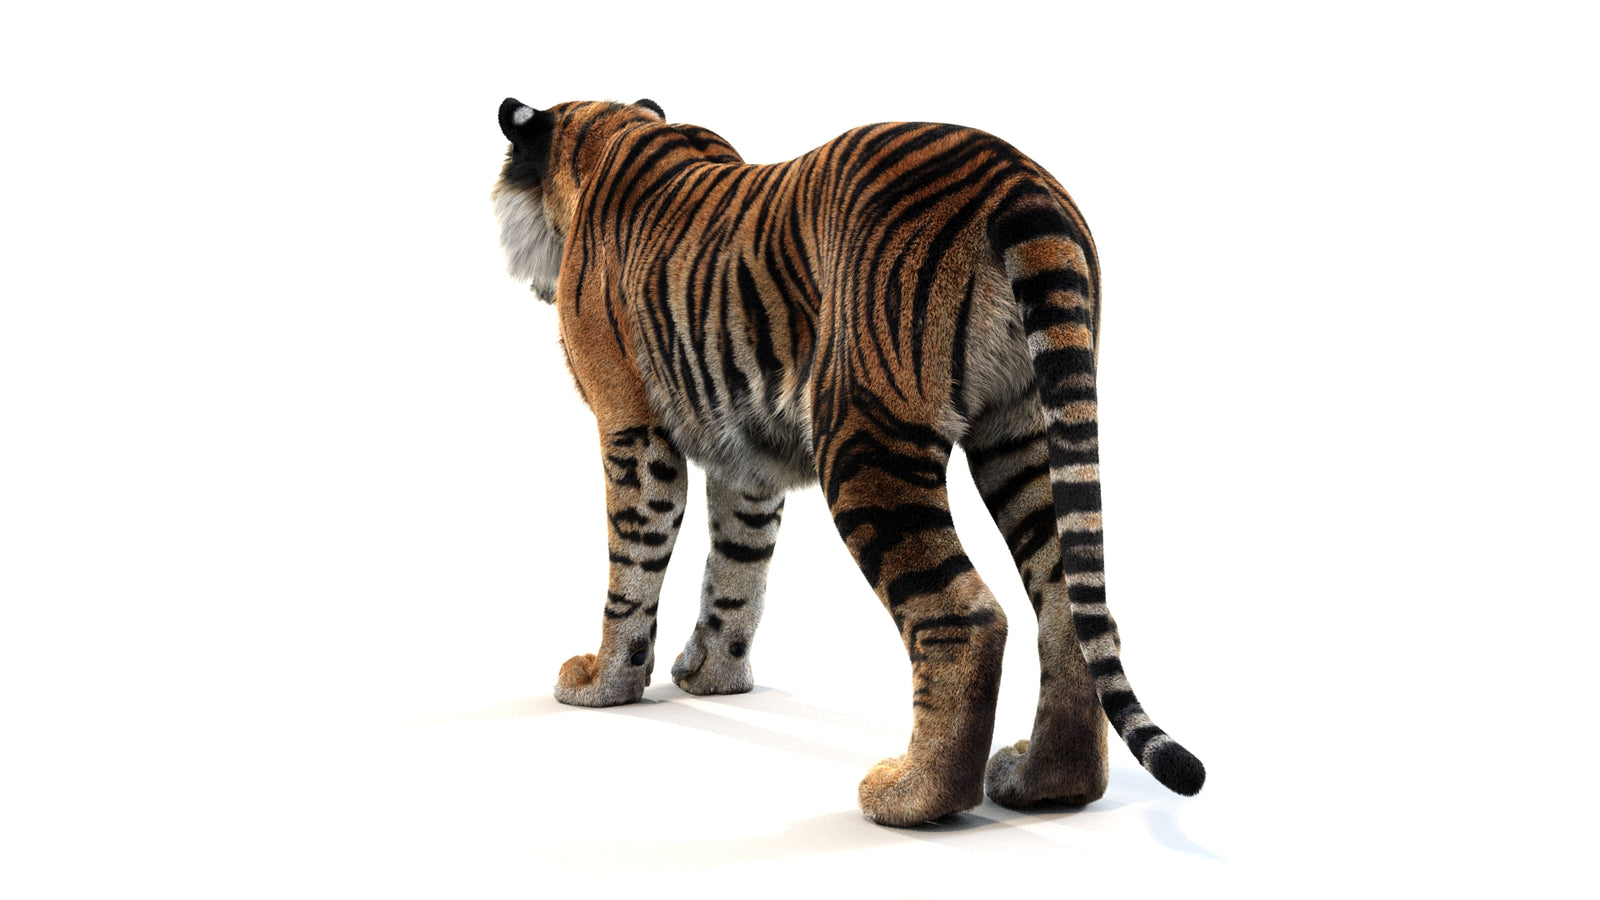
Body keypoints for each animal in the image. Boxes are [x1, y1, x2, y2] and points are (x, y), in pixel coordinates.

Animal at [491, 96, 1204, 826]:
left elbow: (633, 564)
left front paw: (603, 682)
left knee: (966, 616)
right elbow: (738, 569)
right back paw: (1045, 782)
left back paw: (911, 796)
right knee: (1068, 605)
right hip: (1027, 432)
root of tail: (1018, 180)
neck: (611, 134)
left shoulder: (632, 427)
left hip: (864, 432)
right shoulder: (746, 459)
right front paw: (714, 677)